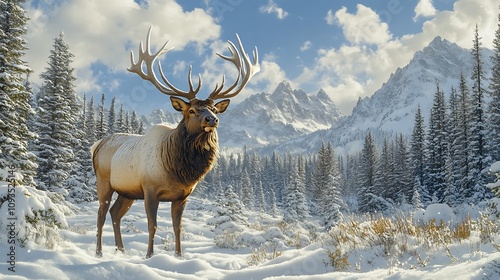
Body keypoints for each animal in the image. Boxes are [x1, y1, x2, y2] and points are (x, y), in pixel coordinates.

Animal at [91, 27, 260, 260]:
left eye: (214, 110)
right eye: (192, 110)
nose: (212, 120)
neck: (178, 168)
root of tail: (97, 145)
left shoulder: (182, 196)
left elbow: (177, 227)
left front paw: (180, 256)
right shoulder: (150, 189)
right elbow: (152, 225)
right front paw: (149, 256)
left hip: (127, 192)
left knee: (115, 213)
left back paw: (121, 250)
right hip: (104, 181)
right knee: (100, 214)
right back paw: (99, 252)